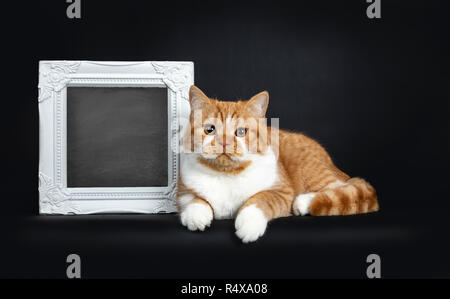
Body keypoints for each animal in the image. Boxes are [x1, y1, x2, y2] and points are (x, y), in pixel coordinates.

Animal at [178, 85, 378, 243]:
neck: (227, 174)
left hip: (314, 173)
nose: (224, 142)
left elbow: (260, 199)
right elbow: (195, 200)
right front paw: (196, 215)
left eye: (241, 132)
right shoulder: (182, 193)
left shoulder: (282, 192)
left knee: (341, 187)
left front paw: (249, 223)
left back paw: (305, 202)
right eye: (209, 130)